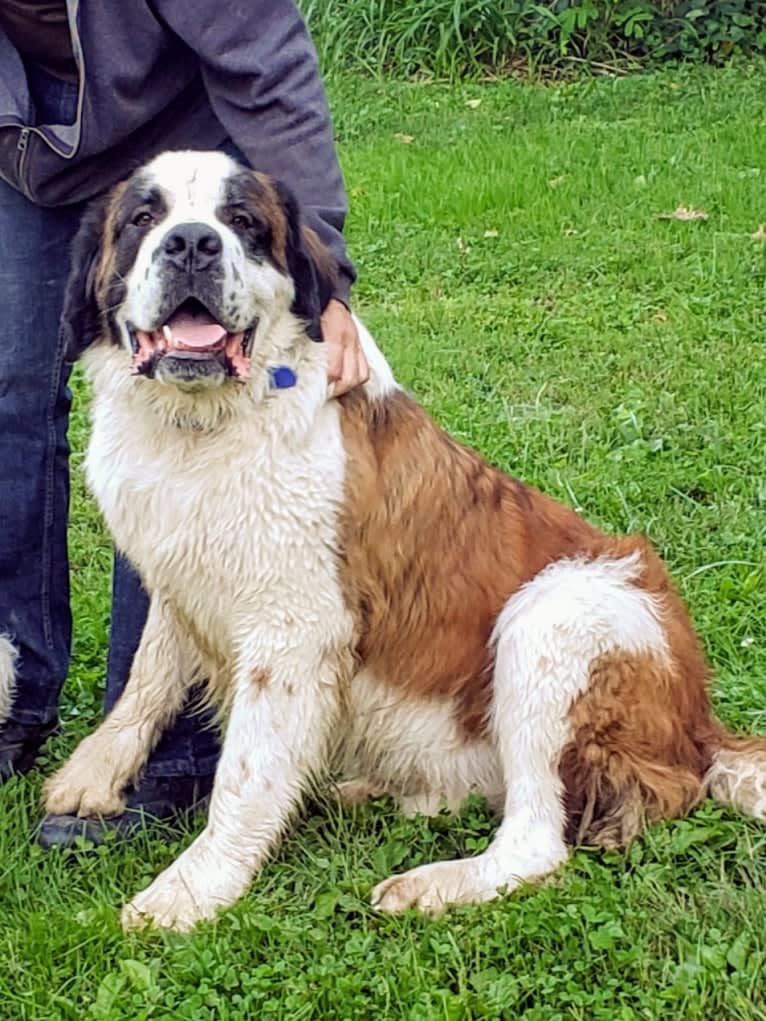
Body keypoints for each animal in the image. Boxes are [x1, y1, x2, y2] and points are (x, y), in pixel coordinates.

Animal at [43, 149, 766, 935]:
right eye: (143, 219)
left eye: (243, 222)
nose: (193, 244)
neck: (201, 430)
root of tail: (702, 724)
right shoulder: (180, 568)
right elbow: (149, 673)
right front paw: (92, 772)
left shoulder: (293, 631)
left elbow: (245, 772)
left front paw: (194, 887)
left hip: (556, 611)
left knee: (538, 839)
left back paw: (434, 883)